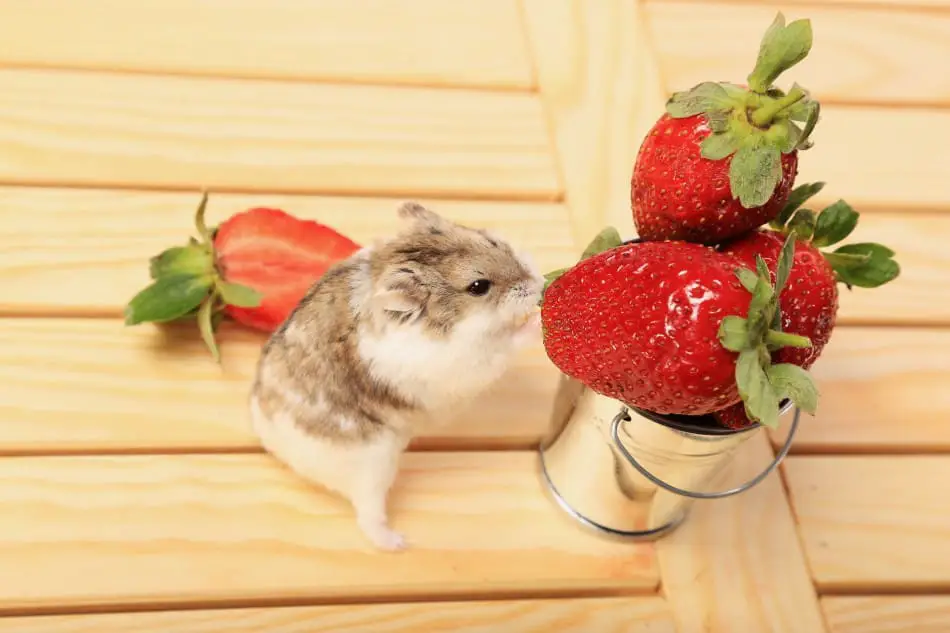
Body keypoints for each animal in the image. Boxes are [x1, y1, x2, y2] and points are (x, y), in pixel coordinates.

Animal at [249, 201, 548, 548]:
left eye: (494, 243)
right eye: (478, 287)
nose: (541, 282)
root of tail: (272, 441)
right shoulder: (469, 360)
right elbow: (508, 341)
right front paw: (537, 319)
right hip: (372, 468)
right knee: (368, 516)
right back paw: (398, 543)